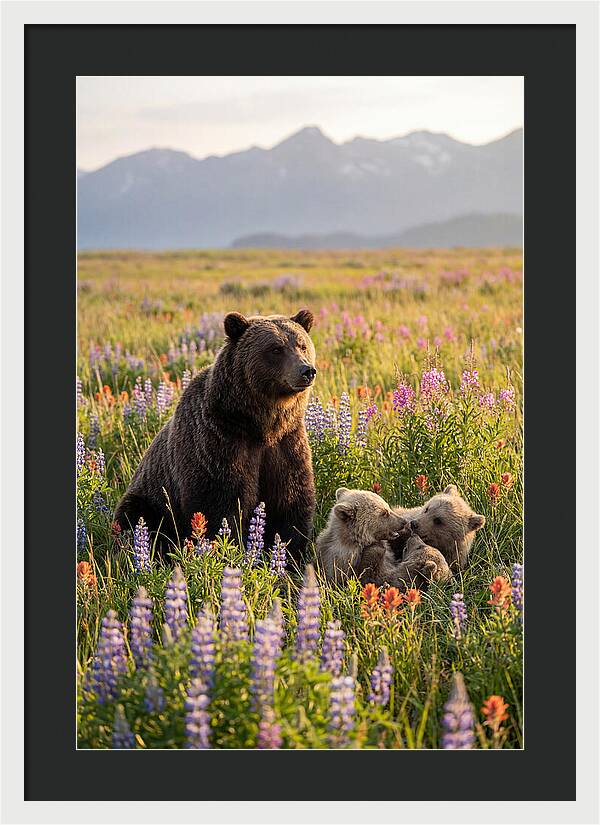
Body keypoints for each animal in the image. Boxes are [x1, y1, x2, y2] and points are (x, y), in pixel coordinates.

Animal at [113, 309, 317, 563]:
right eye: (276, 349)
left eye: (302, 345)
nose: (306, 370)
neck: (260, 425)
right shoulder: (218, 442)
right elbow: (219, 504)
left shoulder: (286, 444)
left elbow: (291, 501)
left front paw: (290, 557)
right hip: (150, 498)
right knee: (137, 519)